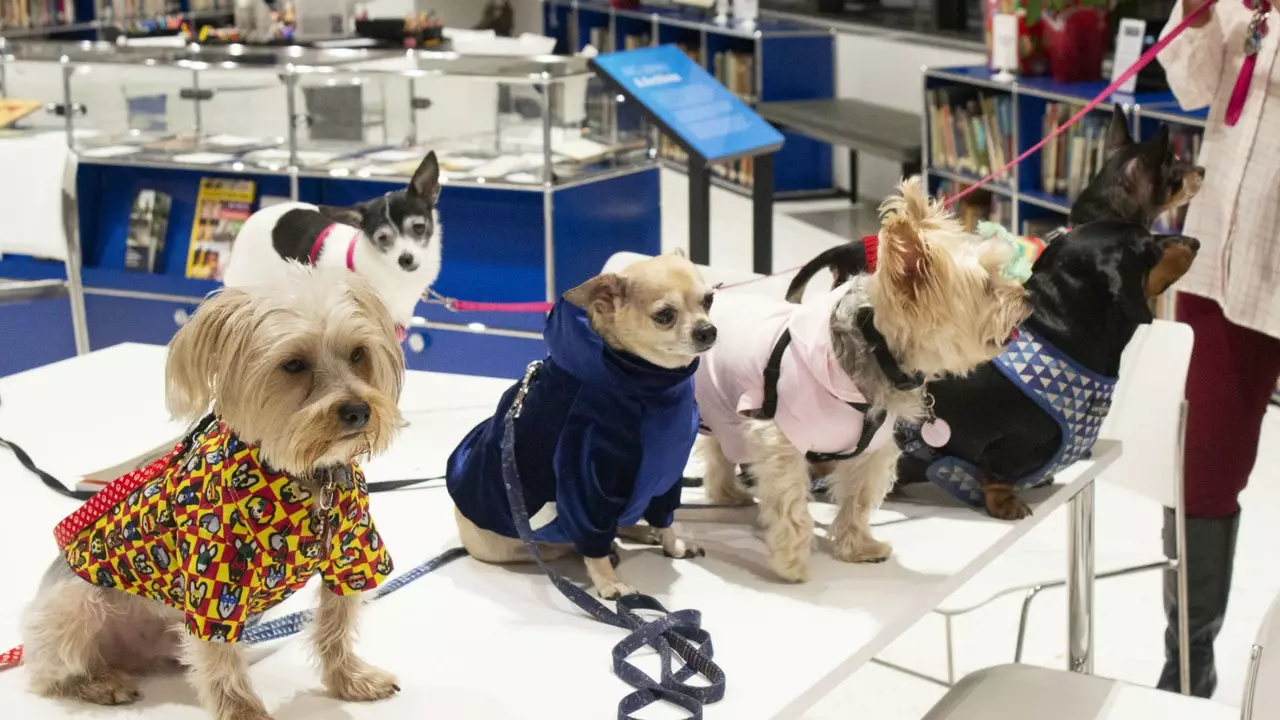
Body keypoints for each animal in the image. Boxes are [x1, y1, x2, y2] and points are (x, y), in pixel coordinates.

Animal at [23, 265, 404, 717]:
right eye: (293, 364)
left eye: (358, 354)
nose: (359, 411)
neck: (308, 477)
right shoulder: (215, 579)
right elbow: (221, 656)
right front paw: (242, 711)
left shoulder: (352, 554)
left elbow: (336, 622)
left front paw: (350, 679)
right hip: (71, 609)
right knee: (48, 675)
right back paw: (98, 682)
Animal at [445, 249, 716, 597]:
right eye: (665, 315)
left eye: (709, 300)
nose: (708, 330)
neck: (649, 384)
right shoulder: (583, 476)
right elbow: (592, 536)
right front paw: (608, 583)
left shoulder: (667, 472)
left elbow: (664, 518)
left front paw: (674, 546)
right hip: (530, 542)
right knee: (571, 543)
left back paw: (639, 533)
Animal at [691, 178, 1029, 584]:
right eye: (987, 287)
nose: (1027, 298)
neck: (876, 347)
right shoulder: (780, 441)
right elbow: (791, 505)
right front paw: (792, 564)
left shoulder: (871, 449)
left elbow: (858, 499)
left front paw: (857, 548)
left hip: (722, 409)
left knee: (718, 450)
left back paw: (726, 493)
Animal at [783, 106, 1203, 515]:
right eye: (1150, 246)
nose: (1195, 242)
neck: (1058, 323)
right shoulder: (1008, 443)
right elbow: (998, 474)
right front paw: (1005, 502)